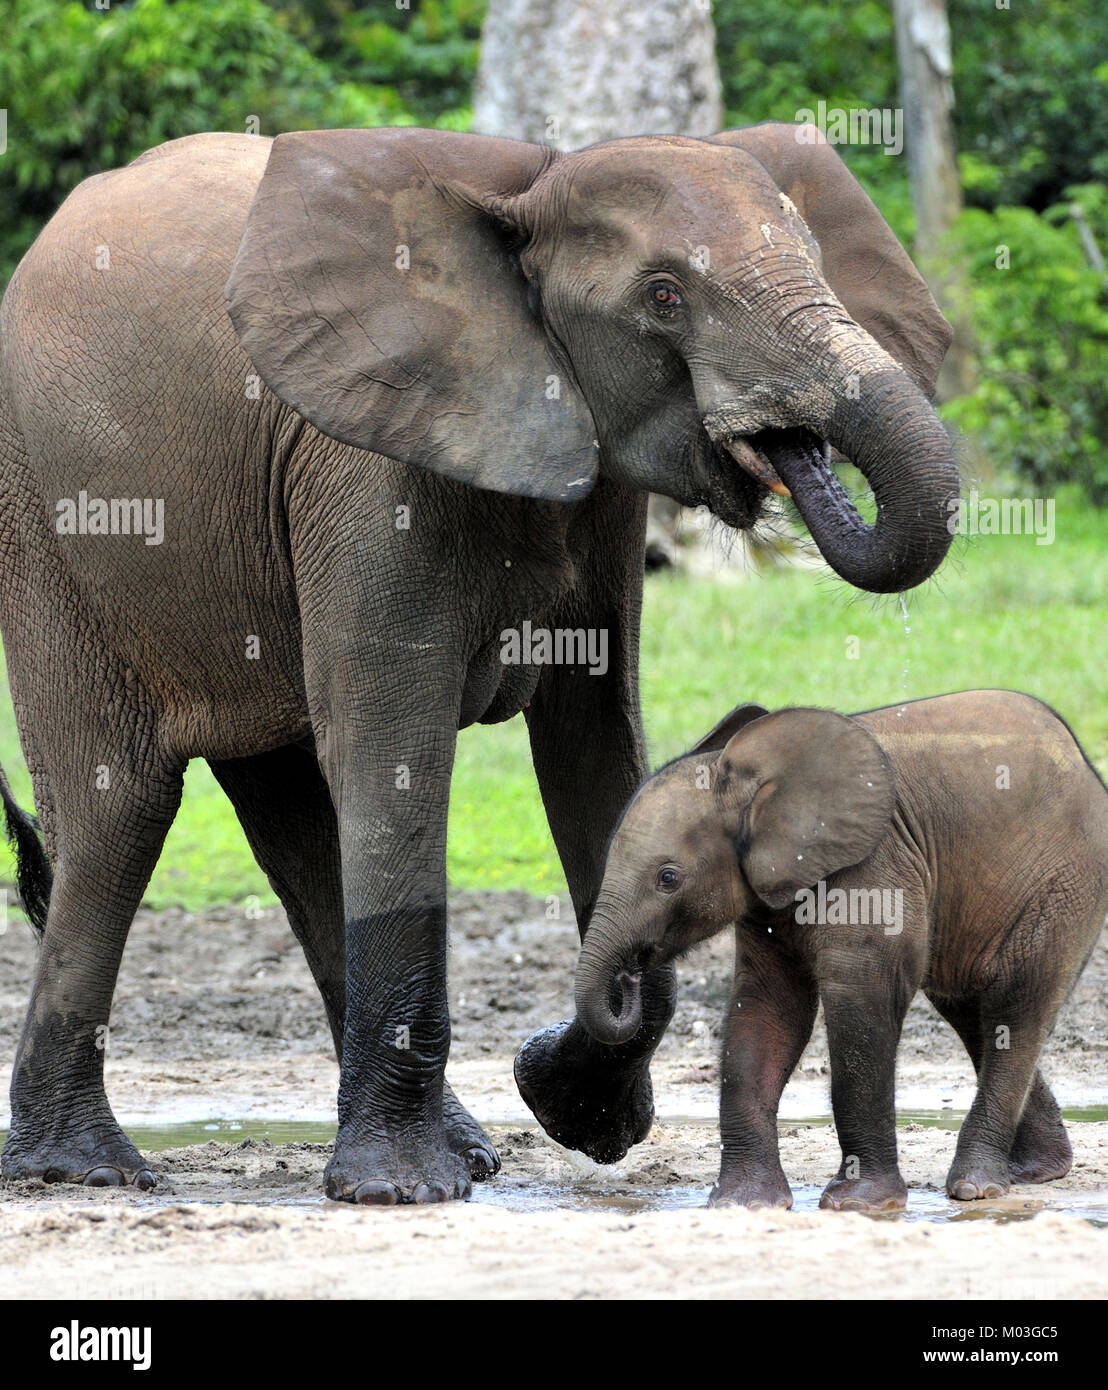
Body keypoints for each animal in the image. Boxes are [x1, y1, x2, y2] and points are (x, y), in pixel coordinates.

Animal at [0, 121, 958, 1204]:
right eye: (664, 297)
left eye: (814, 263)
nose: (790, 452)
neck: (529, 195)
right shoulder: (369, 462)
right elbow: (394, 753)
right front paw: (399, 1190)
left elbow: (595, 751)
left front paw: (573, 1105)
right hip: (49, 526)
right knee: (119, 812)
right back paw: (82, 1169)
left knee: (287, 817)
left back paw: (466, 1148)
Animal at [520, 691, 1108, 1211]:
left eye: (668, 878)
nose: (631, 975)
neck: (753, 781)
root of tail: (1084, 762)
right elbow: (765, 1011)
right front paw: (744, 1205)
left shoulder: (872, 871)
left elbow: (860, 1004)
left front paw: (861, 1204)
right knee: (974, 1011)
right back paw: (1033, 1173)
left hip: (1062, 886)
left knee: (1016, 1007)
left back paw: (976, 1188)